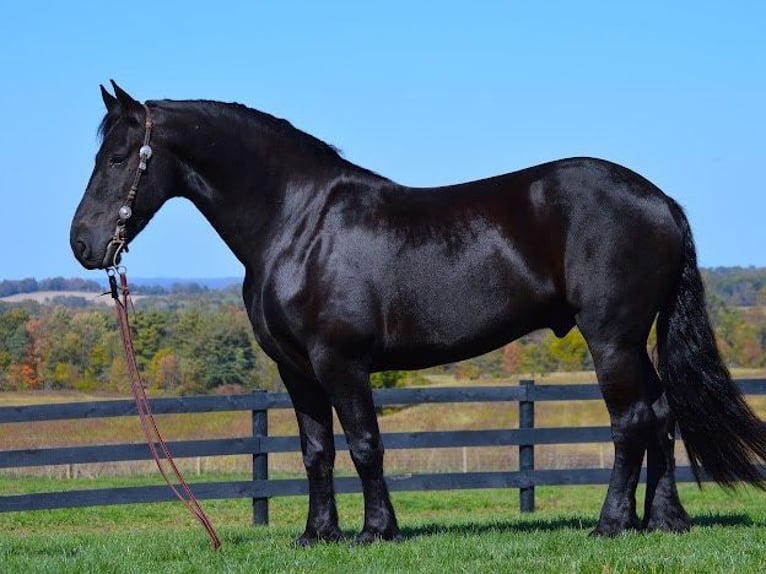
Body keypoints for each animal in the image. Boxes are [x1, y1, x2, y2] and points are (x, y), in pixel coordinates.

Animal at [72, 81, 766, 544]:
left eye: (117, 158)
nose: (82, 244)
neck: (297, 222)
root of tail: (661, 201)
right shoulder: (297, 370)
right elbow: (316, 450)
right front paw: (317, 534)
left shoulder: (340, 361)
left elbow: (365, 444)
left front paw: (377, 531)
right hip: (630, 341)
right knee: (662, 414)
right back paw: (665, 520)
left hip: (611, 338)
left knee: (632, 420)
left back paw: (612, 524)